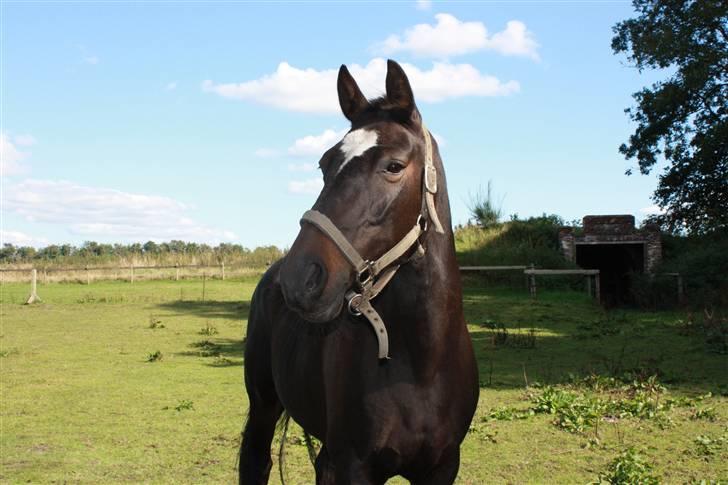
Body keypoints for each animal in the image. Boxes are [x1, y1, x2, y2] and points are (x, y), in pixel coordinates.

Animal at [239, 60, 478, 484]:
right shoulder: (355, 466)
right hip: (263, 404)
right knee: (255, 459)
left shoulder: (442, 466)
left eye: (394, 166)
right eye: (324, 164)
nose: (300, 279)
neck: (420, 366)